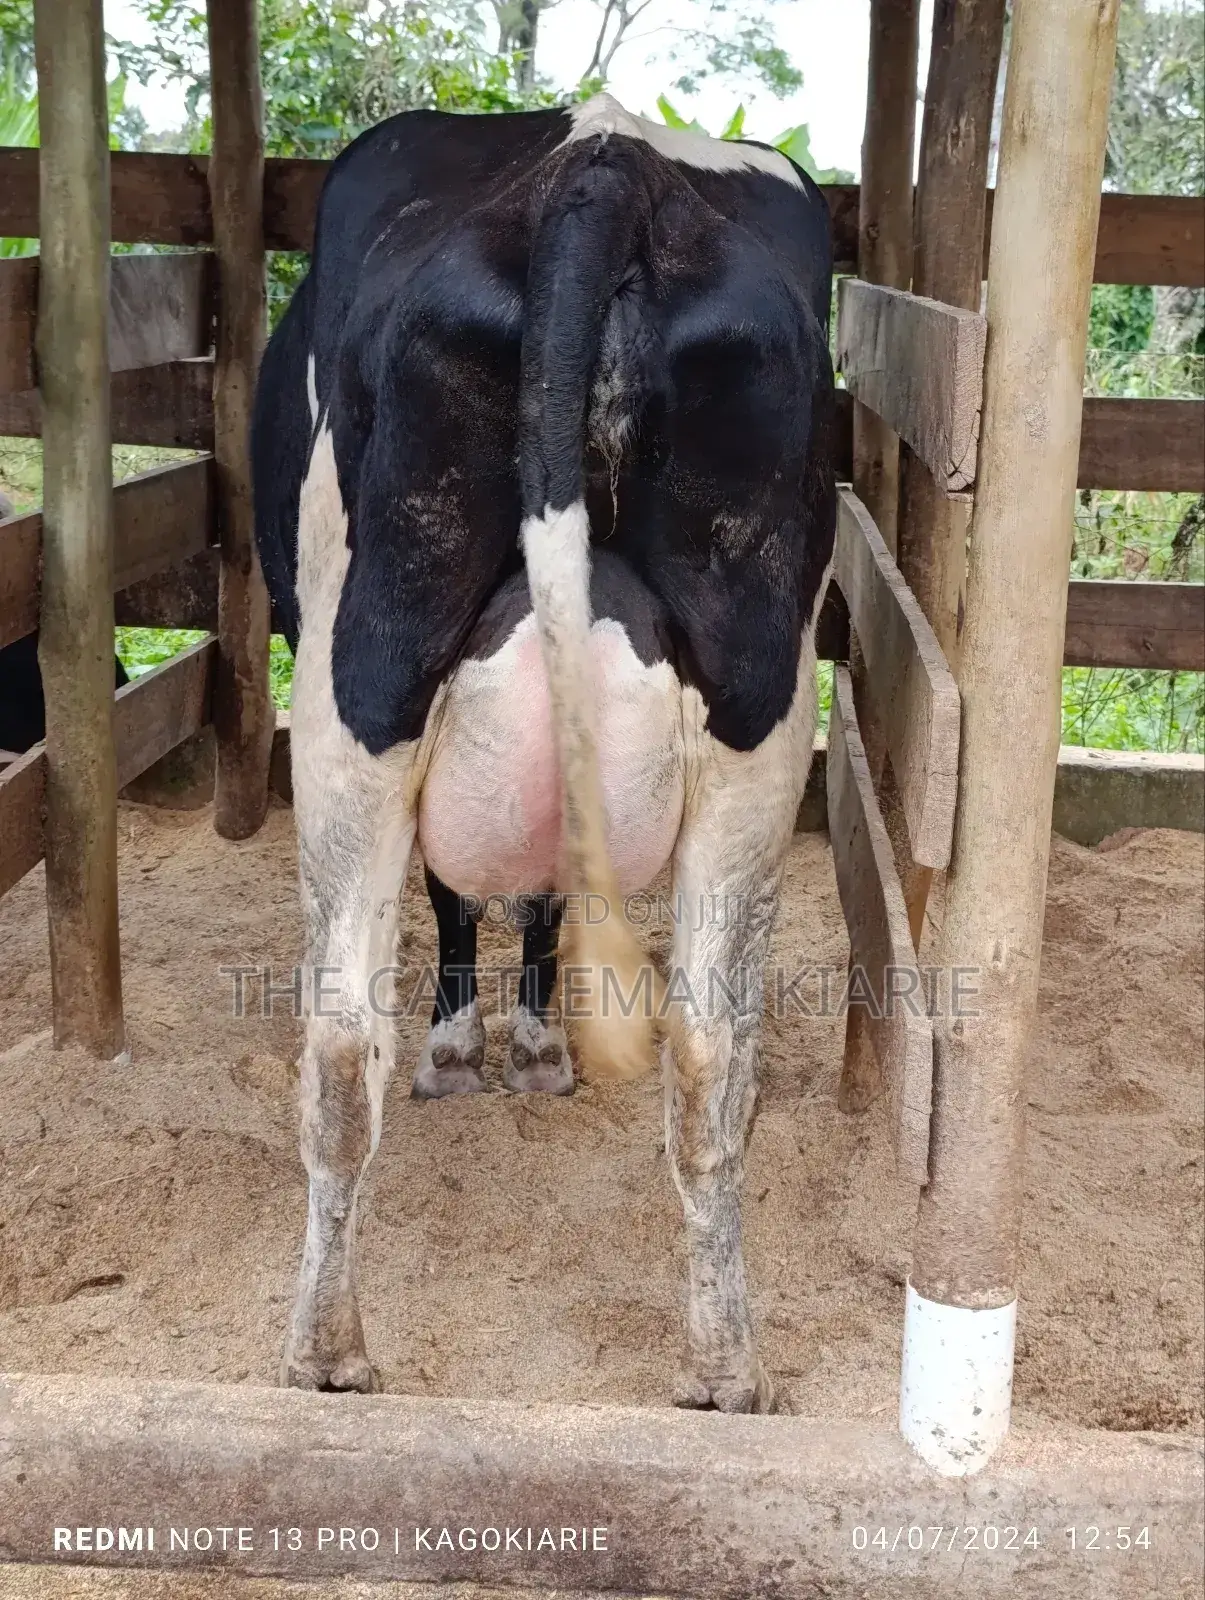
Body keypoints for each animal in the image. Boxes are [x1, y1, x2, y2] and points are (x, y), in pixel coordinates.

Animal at [252, 92, 836, 1413]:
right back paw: (723, 1370)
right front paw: (527, 1043)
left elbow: (462, 896)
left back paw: (325, 1353)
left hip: (356, 677)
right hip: (761, 716)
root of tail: (601, 164)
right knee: (708, 1051)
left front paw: (477, 1047)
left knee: (339, 1040)